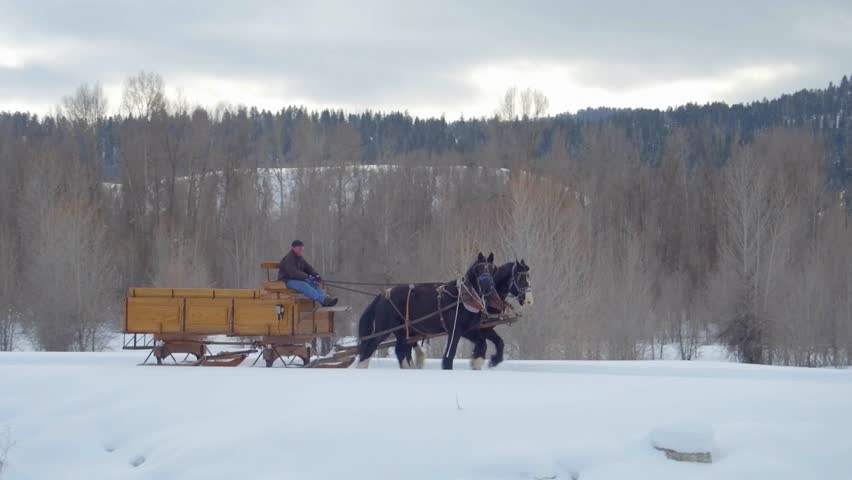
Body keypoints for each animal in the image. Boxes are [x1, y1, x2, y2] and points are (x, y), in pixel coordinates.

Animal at [356, 252, 499, 370]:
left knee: (400, 351)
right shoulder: (455, 330)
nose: (487, 286)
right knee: (369, 347)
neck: (463, 298)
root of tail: (383, 295)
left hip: (403, 331)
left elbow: (482, 344)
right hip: (383, 329)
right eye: (478, 269)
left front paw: (477, 363)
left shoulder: (468, 330)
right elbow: (450, 355)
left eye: (492, 269)